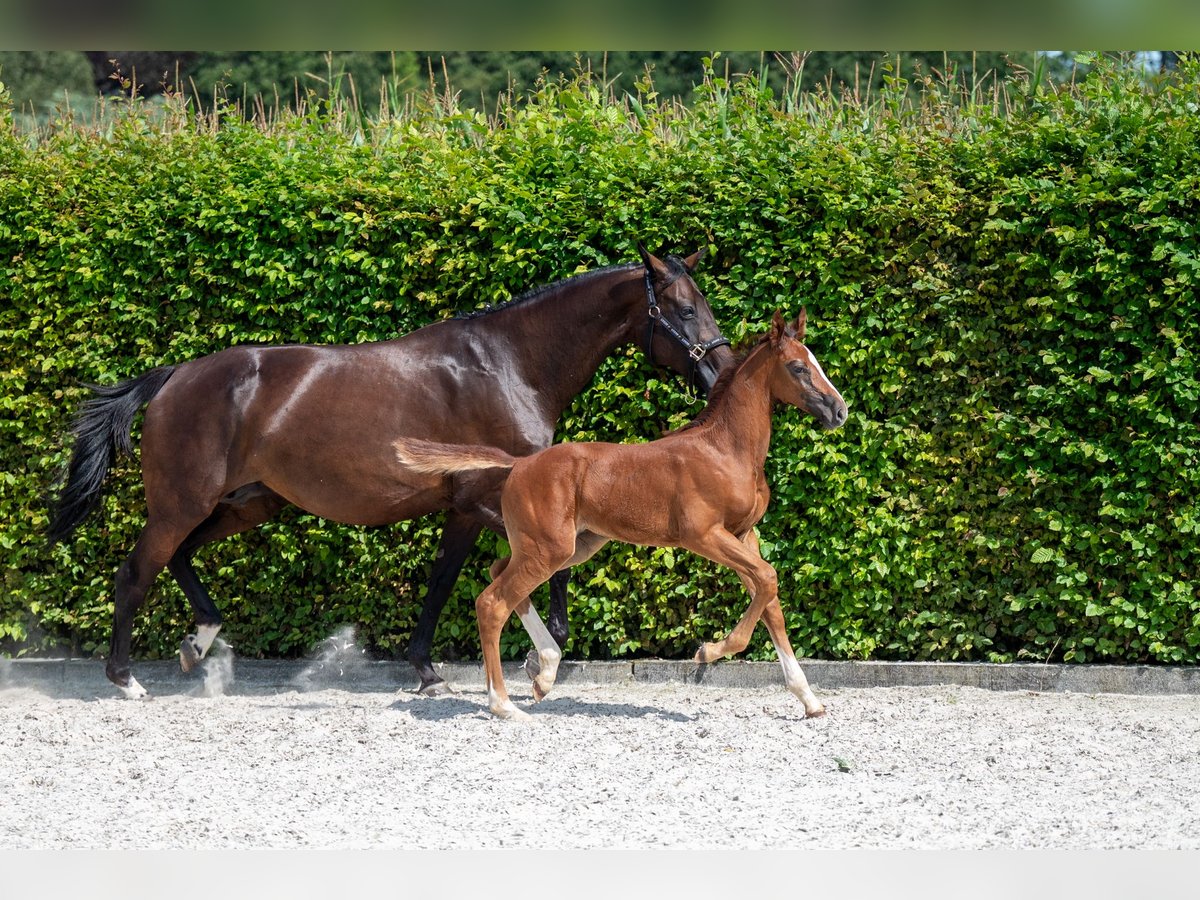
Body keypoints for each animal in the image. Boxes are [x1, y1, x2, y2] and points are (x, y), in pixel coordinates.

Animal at [49, 248, 729, 705]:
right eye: (683, 308)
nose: (721, 372)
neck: (509, 365)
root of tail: (173, 377)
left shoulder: (464, 509)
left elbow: (445, 580)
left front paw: (428, 672)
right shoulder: (487, 500)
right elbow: (537, 575)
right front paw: (539, 662)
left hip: (245, 503)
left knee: (180, 557)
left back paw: (198, 644)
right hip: (180, 503)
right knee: (136, 572)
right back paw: (127, 680)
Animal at [393, 309, 844, 720]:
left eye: (817, 362)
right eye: (798, 367)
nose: (839, 411)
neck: (726, 449)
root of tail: (518, 464)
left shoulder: (745, 534)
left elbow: (770, 602)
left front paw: (810, 700)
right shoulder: (704, 534)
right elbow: (767, 579)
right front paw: (707, 651)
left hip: (567, 545)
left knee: (498, 570)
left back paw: (544, 675)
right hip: (549, 549)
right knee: (491, 602)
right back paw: (503, 705)